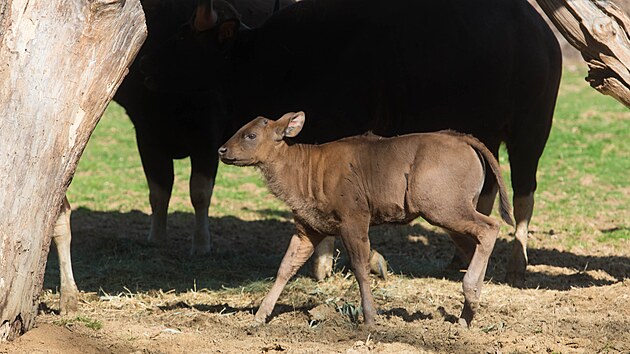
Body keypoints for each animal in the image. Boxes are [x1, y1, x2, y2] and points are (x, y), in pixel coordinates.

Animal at [220, 112, 516, 326]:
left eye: (251, 134)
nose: (222, 150)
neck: (308, 169)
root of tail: (463, 138)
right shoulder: (307, 229)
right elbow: (285, 268)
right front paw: (259, 317)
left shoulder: (354, 221)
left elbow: (360, 268)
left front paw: (370, 319)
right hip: (450, 215)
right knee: (474, 244)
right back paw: (466, 316)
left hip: (444, 209)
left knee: (490, 227)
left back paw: (471, 294)